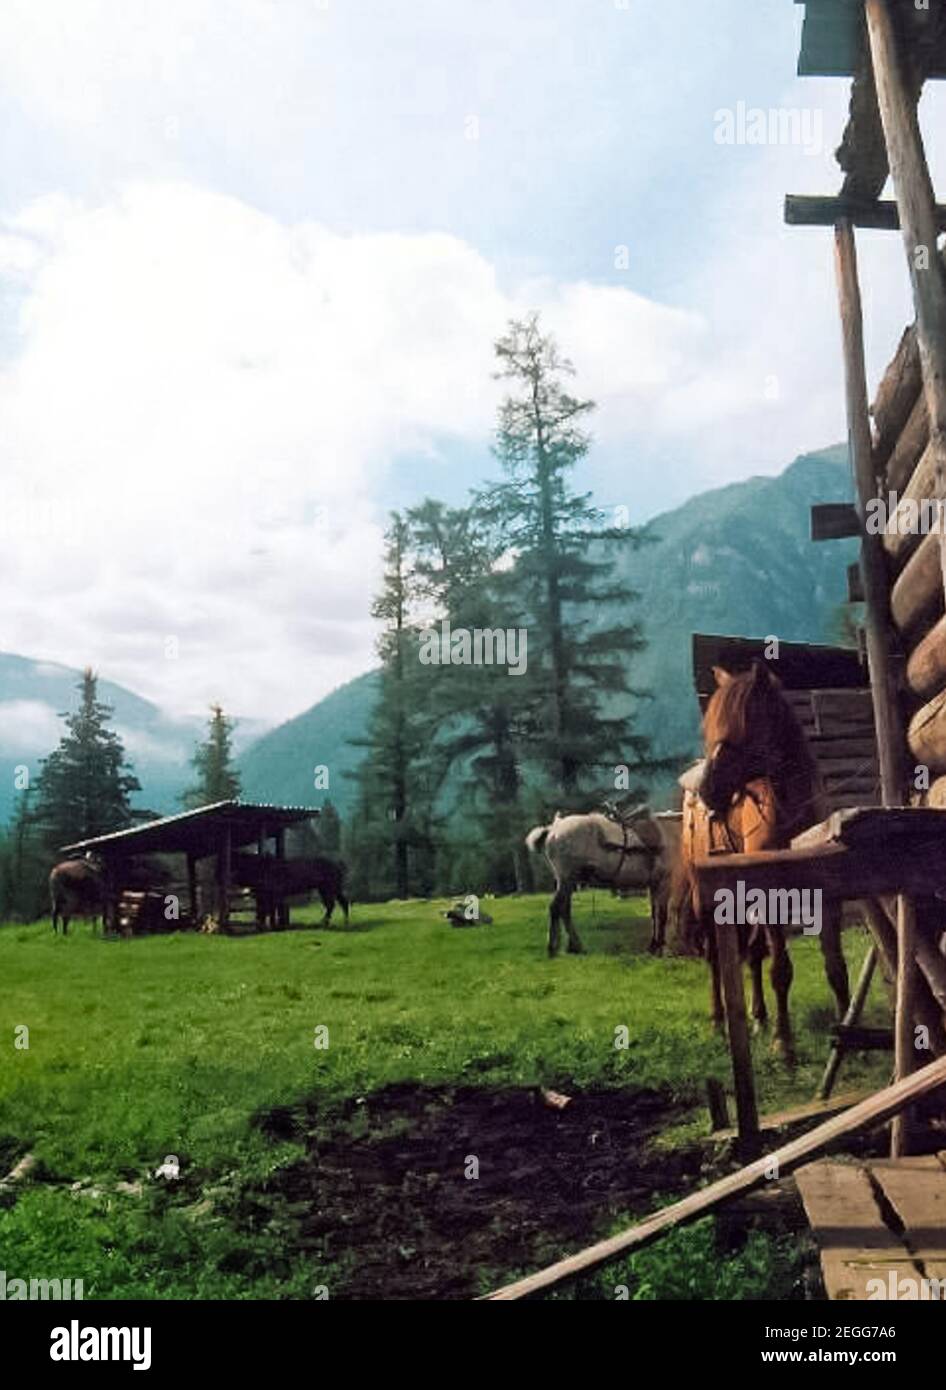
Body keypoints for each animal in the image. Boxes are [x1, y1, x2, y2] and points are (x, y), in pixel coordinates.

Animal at [525, 806, 677, 956]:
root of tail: (553, 829)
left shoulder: (654, 885)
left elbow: (654, 915)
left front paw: (653, 945)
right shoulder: (664, 883)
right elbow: (661, 915)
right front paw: (658, 947)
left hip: (567, 882)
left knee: (564, 910)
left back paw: (573, 946)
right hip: (566, 880)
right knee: (557, 908)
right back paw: (554, 947)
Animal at [677, 661, 850, 1061]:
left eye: (744, 723)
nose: (708, 791)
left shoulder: (828, 897)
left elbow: (835, 964)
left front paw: (849, 1031)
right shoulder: (771, 900)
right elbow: (781, 970)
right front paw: (784, 1044)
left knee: (754, 953)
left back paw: (758, 1018)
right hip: (707, 901)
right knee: (715, 958)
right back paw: (719, 1021)